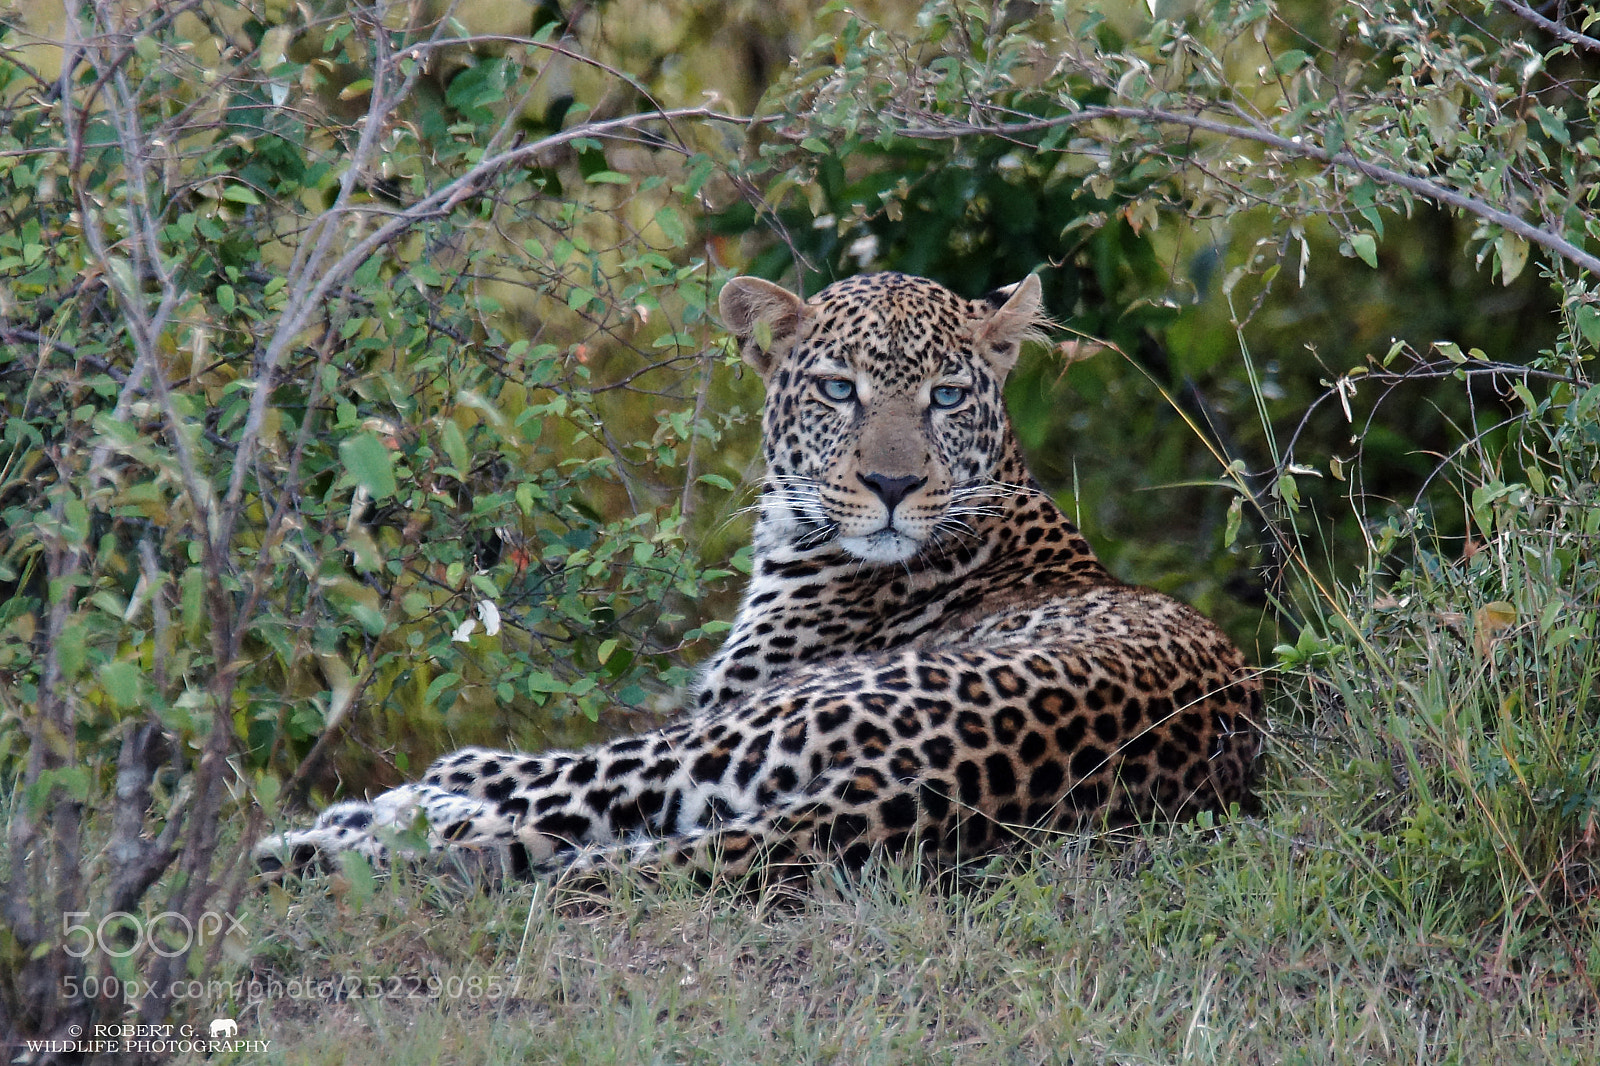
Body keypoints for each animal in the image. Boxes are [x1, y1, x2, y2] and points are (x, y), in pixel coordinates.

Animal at [255, 271, 1262, 885]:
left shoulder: (724, 702)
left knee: (537, 795)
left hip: (742, 730)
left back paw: (348, 822)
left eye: (945, 397)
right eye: (838, 390)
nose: (892, 486)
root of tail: (941, 788)